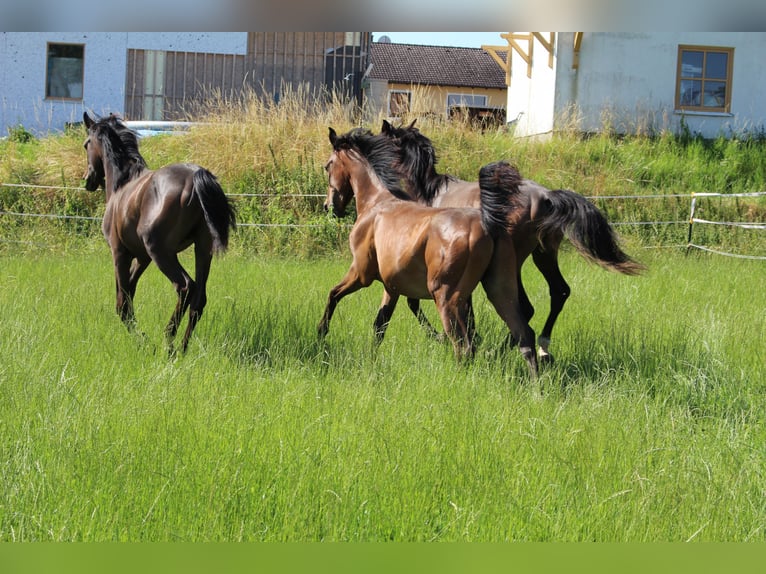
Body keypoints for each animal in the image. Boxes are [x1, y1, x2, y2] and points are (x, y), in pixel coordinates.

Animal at [82, 112, 237, 354]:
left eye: (86, 144)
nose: (87, 180)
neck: (123, 185)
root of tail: (196, 176)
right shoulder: (142, 258)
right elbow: (130, 293)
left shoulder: (120, 253)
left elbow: (122, 303)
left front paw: (143, 341)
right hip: (202, 250)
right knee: (199, 300)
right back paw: (182, 348)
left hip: (162, 253)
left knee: (185, 287)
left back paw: (168, 342)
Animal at [318, 127, 538, 378]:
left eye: (328, 165)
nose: (329, 206)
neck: (376, 203)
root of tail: (487, 224)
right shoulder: (391, 287)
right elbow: (379, 326)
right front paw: (370, 359)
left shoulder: (360, 274)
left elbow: (333, 294)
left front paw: (321, 334)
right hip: (499, 289)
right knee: (524, 335)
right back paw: (536, 384)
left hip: (446, 297)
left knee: (464, 344)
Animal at [380, 119, 645, 363]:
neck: (433, 192)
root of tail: (546, 197)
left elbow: (419, 303)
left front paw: (446, 337)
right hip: (544, 254)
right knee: (559, 291)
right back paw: (542, 348)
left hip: (516, 261)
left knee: (525, 307)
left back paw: (501, 351)